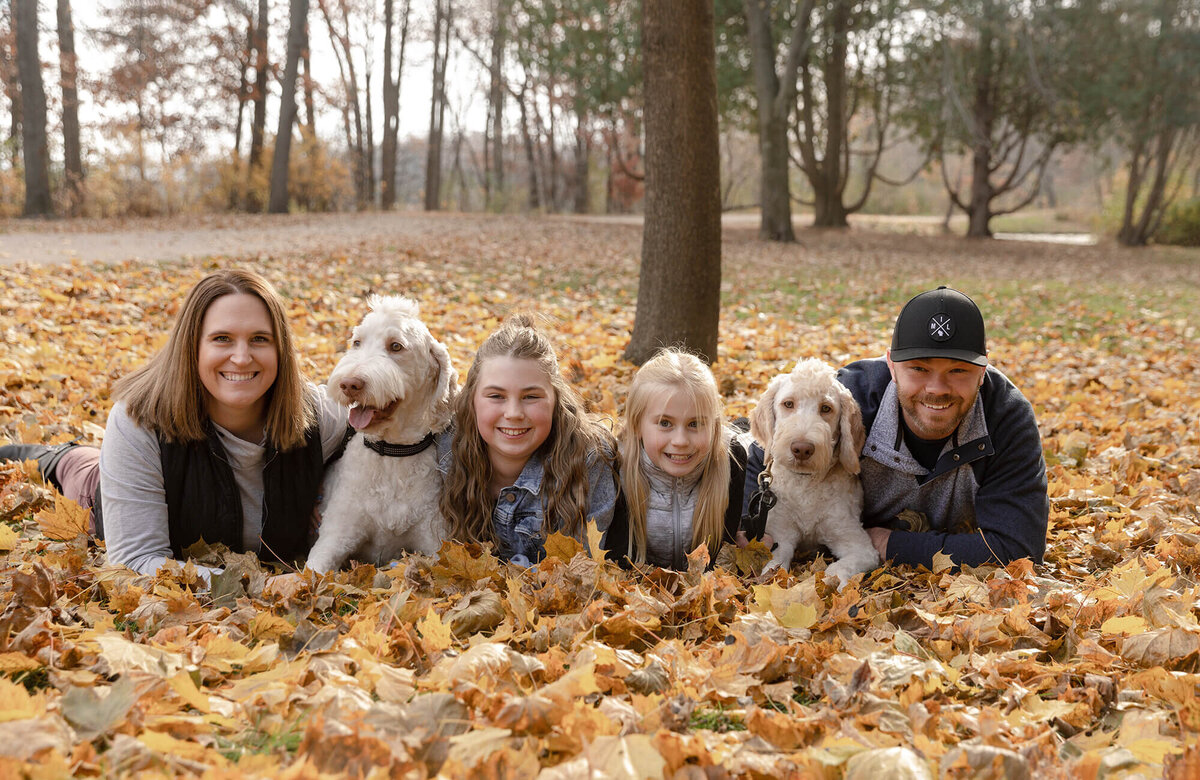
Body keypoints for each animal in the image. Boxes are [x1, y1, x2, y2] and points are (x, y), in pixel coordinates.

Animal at [307, 292, 456, 571]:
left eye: (396, 346)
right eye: (357, 342)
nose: (349, 384)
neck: (391, 455)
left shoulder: (436, 542)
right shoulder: (335, 535)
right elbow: (312, 572)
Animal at [748, 357, 883, 583]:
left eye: (826, 408)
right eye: (788, 404)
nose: (802, 449)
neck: (805, 485)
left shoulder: (859, 545)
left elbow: (837, 569)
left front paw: (830, 585)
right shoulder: (779, 536)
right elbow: (775, 563)